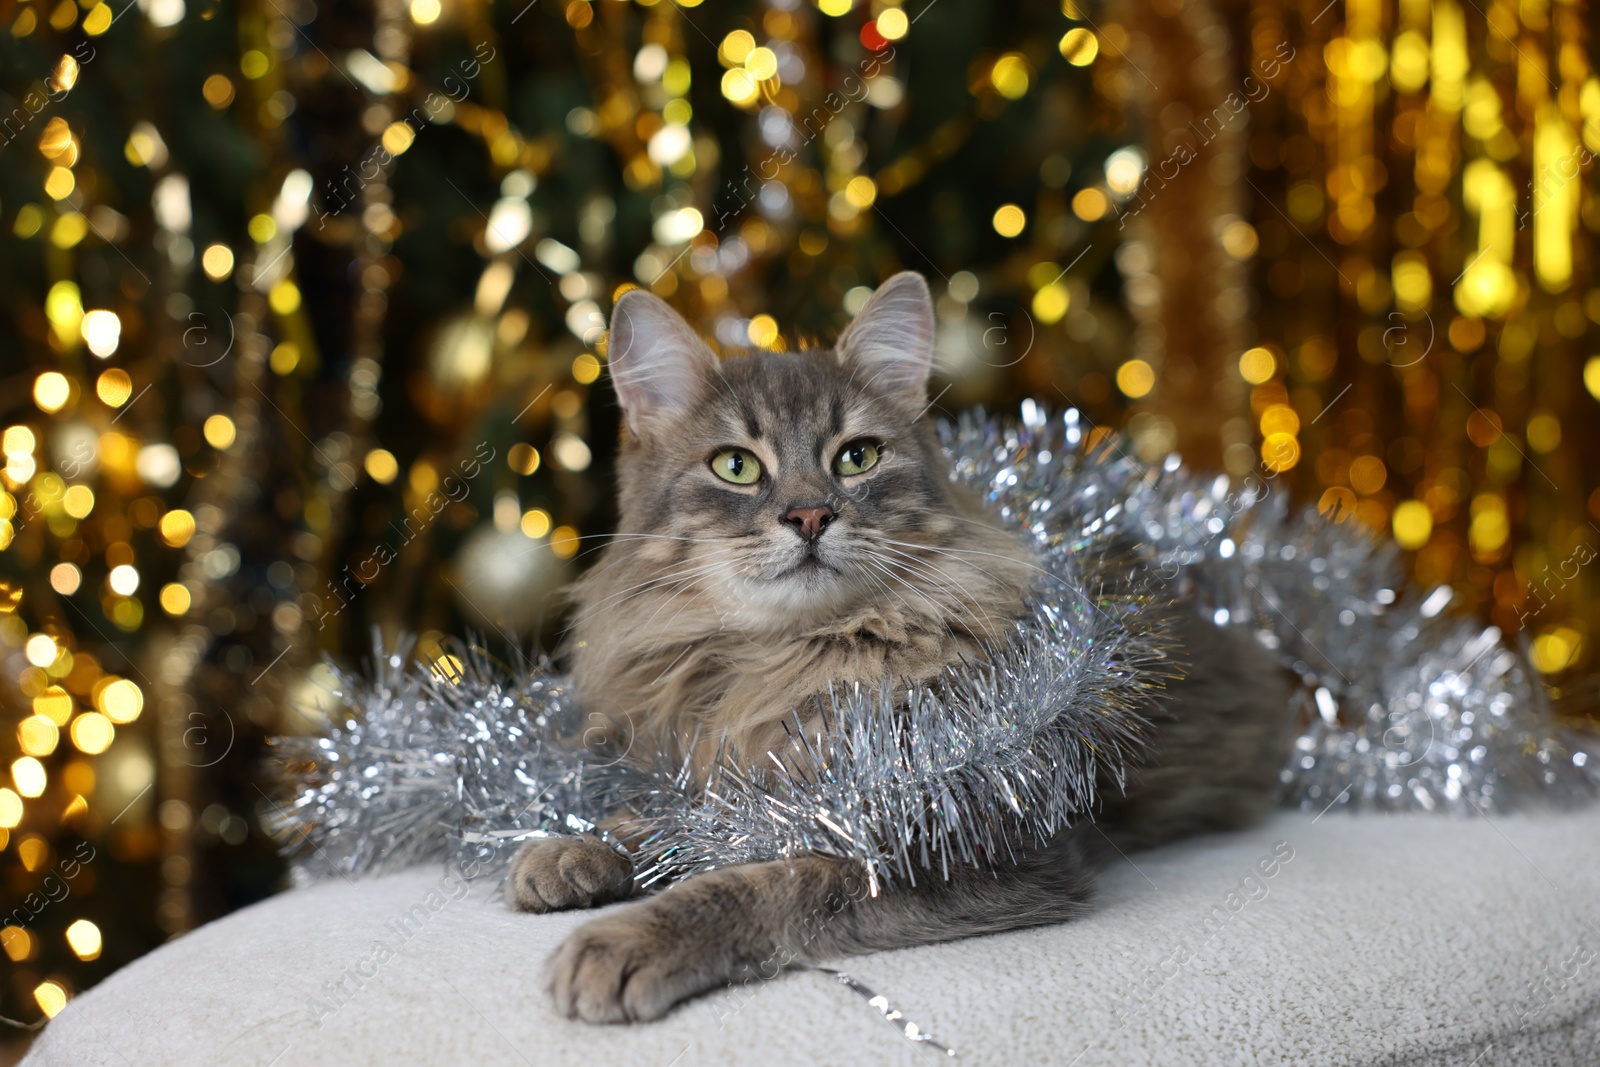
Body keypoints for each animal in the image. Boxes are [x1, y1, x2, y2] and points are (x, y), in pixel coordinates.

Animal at [512, 271, 1299, 1023]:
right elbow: (672, 817)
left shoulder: (962, 840)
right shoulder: (721, 768)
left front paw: (625, 941)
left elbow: (763, 886)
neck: (785, 662)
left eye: (857, 458)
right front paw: (574, 846)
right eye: (736, 466)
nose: (809, 515)